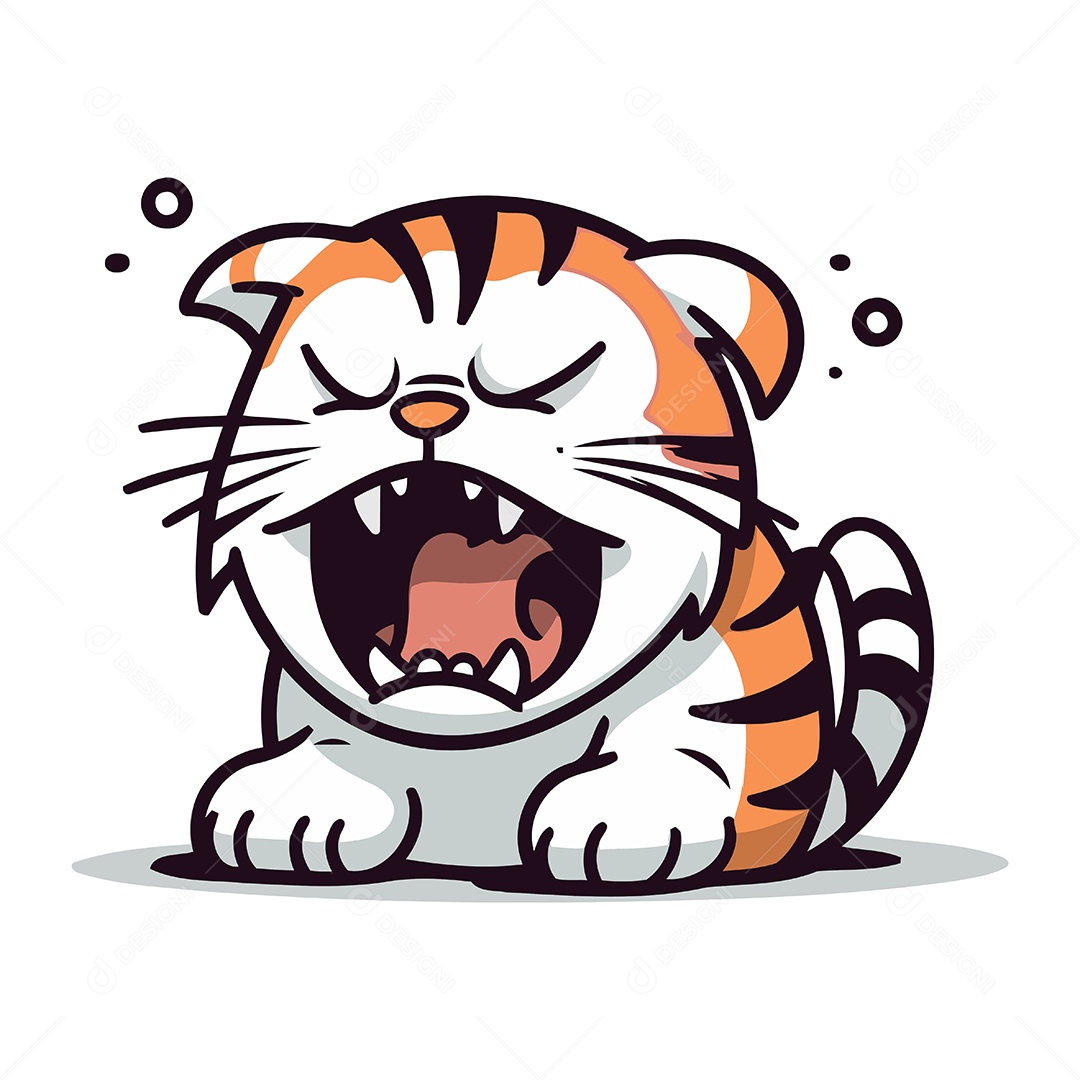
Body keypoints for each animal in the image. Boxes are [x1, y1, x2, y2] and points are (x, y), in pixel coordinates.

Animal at [127, 195, 933, 894]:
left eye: (543, 379)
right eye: (347, 380)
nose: (426, 406)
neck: (466, 746)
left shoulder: (719, 694)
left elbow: (683, 748)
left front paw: (623, 813)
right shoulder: (318, 709)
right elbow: (332, 746)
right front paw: (298, 801)